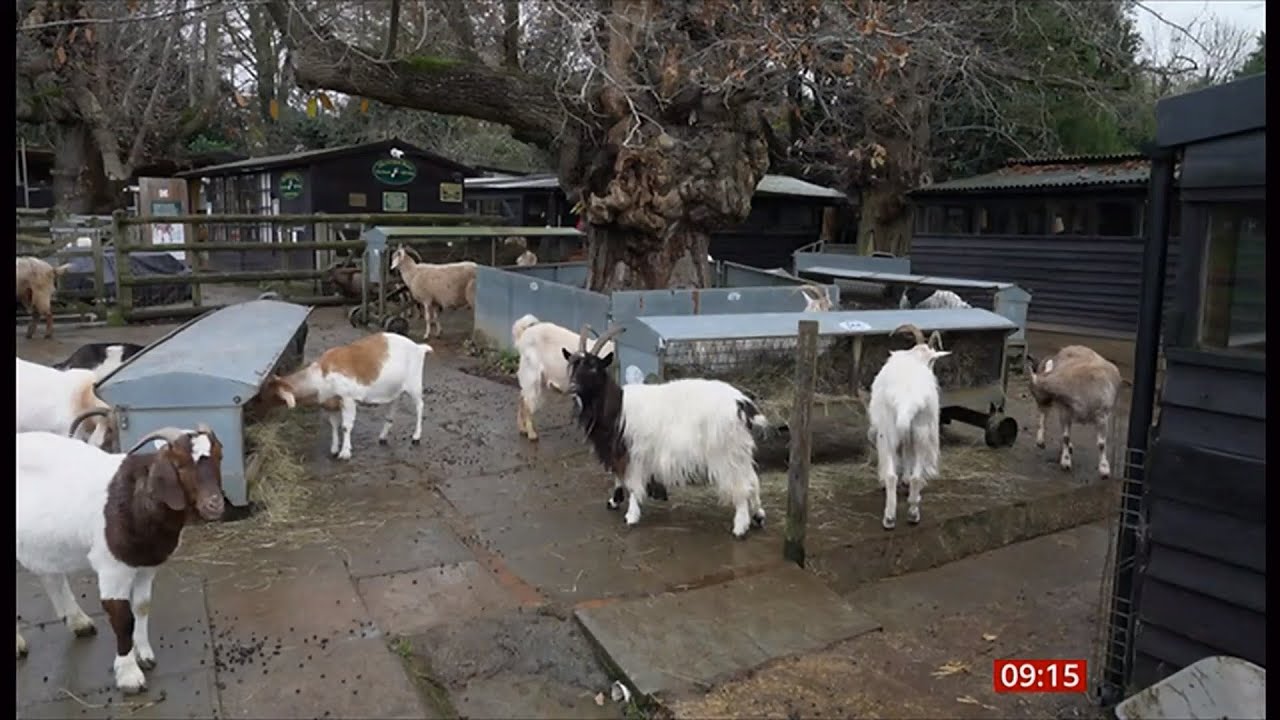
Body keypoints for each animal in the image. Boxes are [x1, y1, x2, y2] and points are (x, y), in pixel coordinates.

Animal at [16, 425, 225, 694]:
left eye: (219, 457)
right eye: (179, 464)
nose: (215, 504)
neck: (136, 497)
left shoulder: (145, 566)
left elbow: (142, 606)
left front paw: (143, 654)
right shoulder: (112, 568)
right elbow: (122, 617)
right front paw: (129, 676)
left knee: (49, 573)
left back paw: (79, 622)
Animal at [257, 332, 434, 460]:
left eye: (268, 394)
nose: (256, 412)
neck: (320, 376)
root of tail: (419, 347)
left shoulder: (348, 399)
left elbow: (346, 426)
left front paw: (345, 453)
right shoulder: (330, 403)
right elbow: (334, 426)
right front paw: (334, 449)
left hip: (414, 384)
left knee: (420, 406)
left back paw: (416, 437)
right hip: (394, 390)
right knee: (392, 411)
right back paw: (383, 437)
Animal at [562, 324, 773, 538]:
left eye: (594, 367)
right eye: (574, 365)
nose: (572, 387)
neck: (617, 408)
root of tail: (742, 404)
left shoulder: (634, 453)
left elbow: (632, 482)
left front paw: (631, 515)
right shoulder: (619, 449)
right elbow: (618, 476)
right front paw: (614, 501)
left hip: (725, 452)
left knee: (742, 486)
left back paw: (740, 527)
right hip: (739, 450)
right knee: (752, 480)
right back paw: (758, 515)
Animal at [863, 324, 951, 530]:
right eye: (932, 363)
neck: (915, 358)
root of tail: (907, 400)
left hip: (889, 431)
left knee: (892, 475)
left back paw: (890, 517)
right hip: (920, 430)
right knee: (915, 475)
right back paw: (912, 512)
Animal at [1025, 345, 1121, 479]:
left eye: (1032, 389)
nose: (1039, 403)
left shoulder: (1102, 415)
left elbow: (1101, 444)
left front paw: (1104, 469)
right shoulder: (1065, 410)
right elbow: (1065, 437)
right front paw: (1065, 461)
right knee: (1046, 418)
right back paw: (1041, 441)